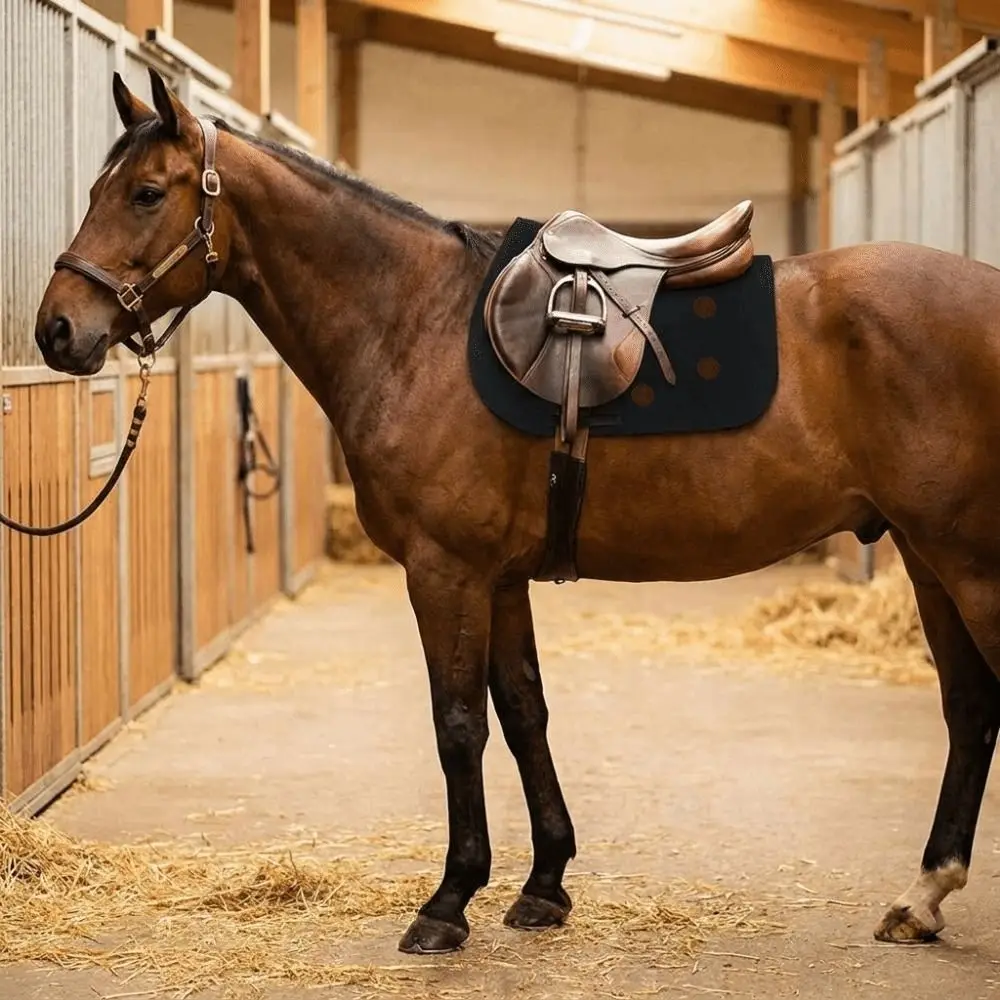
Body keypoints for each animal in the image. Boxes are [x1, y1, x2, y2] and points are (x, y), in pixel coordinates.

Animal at [32, 68, 1000, 954]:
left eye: (146, 193)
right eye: (98, 190)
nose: (56, 331)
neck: (412, 323)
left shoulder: (445, 571)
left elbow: (459, 725)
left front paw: (448, 900)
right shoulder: (499, 579)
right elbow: (524, 712)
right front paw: (543, 885)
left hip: (968, 565)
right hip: (926, 559)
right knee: (969, 707)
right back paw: (921, 897)